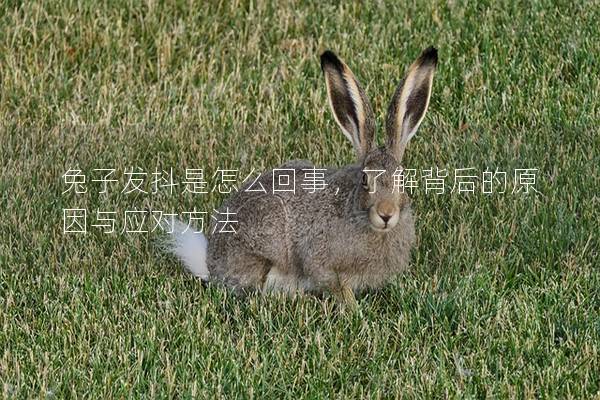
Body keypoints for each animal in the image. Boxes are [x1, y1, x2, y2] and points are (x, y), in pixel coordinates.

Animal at [169, 47, 436, 304]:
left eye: (402, 179)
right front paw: (353, 309)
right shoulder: (320, 262)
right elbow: (335, 285)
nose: (386, 214)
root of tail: (211, 262)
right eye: (364, 179)